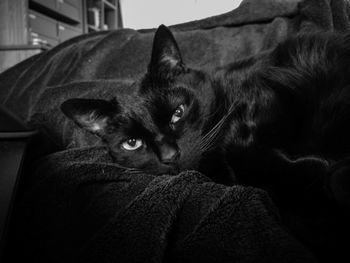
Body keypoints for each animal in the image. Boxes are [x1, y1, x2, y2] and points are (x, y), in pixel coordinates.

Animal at [61, 25, 348, 210]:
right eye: (132, 143)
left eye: (178, 112)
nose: (170, 156)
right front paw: (320, 173)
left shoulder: (266, 95)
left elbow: (243, 148)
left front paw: (327, 175)